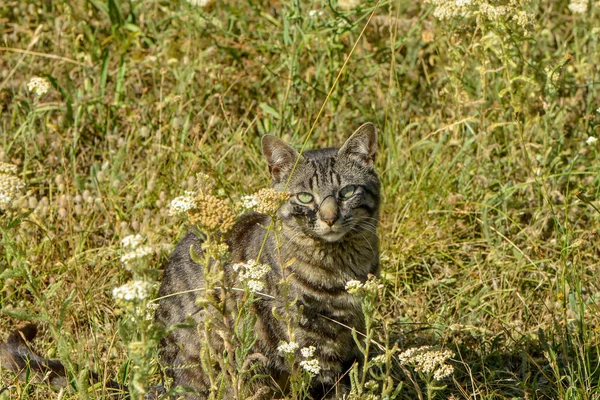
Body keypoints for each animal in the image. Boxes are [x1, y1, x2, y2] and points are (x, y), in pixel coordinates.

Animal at [1, 123, 380, 398]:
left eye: (347, 192)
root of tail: (167, 385)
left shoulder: (350, 344)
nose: (329, 218)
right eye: (304, 197)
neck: (340, 266)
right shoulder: (309, 350)